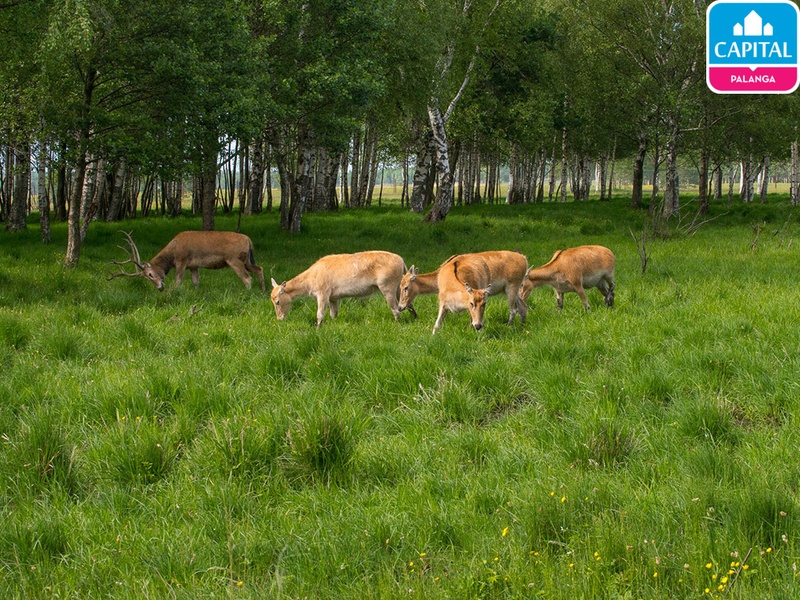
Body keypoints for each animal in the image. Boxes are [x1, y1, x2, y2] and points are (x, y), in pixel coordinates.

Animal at [108, 230, 265, 292]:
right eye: (146, 278)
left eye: (150, 274)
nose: (160, 288)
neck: (172, 254)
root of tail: (249, 240)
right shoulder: (193, 266)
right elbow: (196, 281)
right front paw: (196, 294)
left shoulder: (182, 261)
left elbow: (178, 280)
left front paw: (174, 293)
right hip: (247, 260)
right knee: (259, 269)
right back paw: (263, 290)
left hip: (234, 259)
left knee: (247, 278)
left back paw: (248, 292)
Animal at [270, 251, 407, 326]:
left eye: (277, 302)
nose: (279, 318)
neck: (311, 279)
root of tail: (402, 261)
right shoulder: (333, 298)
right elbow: (333, 314)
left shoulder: (323, 292)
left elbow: (320, 314)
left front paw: (317, 328)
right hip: (398, 288)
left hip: (388, 287)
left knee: (395, 308)